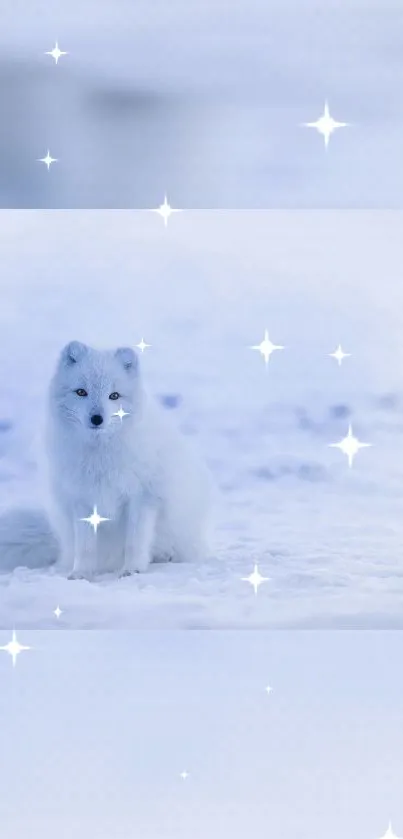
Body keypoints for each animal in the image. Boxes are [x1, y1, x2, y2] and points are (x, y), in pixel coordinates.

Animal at [0, 342, 213, 576]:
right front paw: (81, 574)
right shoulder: (82, 500)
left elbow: (135, 541)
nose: (97, 418)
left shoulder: (143, 496)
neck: (100, 456)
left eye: (114, 395)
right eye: (81, 392)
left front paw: (132, 570)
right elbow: (85, 547)